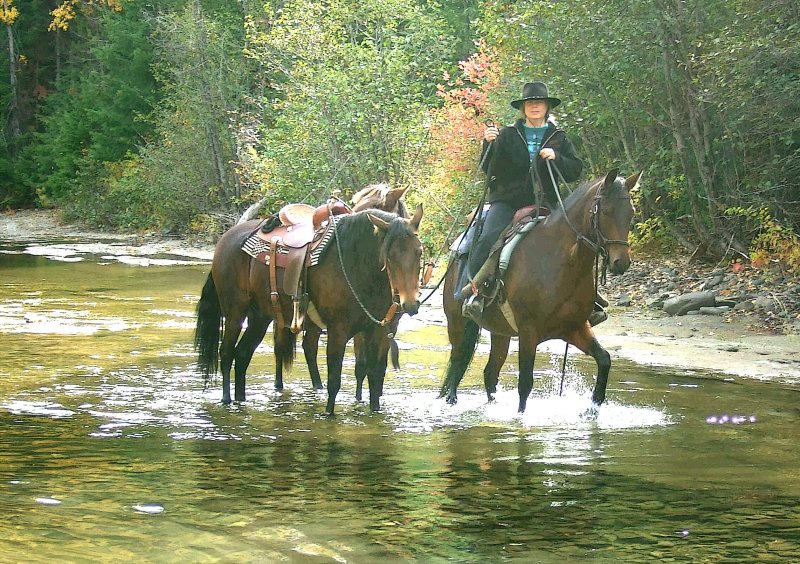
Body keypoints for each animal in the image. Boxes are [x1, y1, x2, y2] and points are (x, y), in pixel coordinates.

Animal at [195, 205, 424, 412]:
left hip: (260, 317)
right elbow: (334, 381)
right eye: (389, 256)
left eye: (419, 252)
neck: (355, 265)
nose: (410, 304)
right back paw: (227, 400)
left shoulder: (378, 331)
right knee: (226, 353)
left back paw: (241, 400)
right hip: (235, 313)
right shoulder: (338, 331)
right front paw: (328, 415)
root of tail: (225, 239)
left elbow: (375, 379)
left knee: (242, 355)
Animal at [440, 167, 640, 410]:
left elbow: (604, 360)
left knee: (490, 372)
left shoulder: (575, 328)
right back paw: (451, 400)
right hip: (456, 322)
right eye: (607, 211)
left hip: (500, 331)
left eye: (631, 213)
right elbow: (525, 385)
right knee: (457, 362)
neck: (561, 261)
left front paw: (592, 410)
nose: (621, 263)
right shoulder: (529, 332)